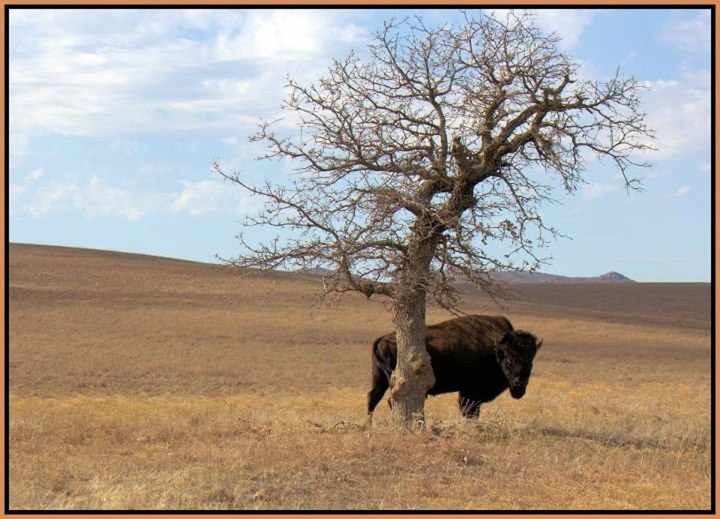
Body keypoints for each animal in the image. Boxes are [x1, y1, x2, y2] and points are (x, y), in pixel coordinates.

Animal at [368, 314, 544, 420]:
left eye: (531, 361)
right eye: (508, 360)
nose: (519, 386)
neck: (495, 350)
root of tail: (382, 339)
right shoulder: (469, 392)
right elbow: (469, 411)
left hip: (380, 380)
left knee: (373, 398)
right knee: (390, 400)